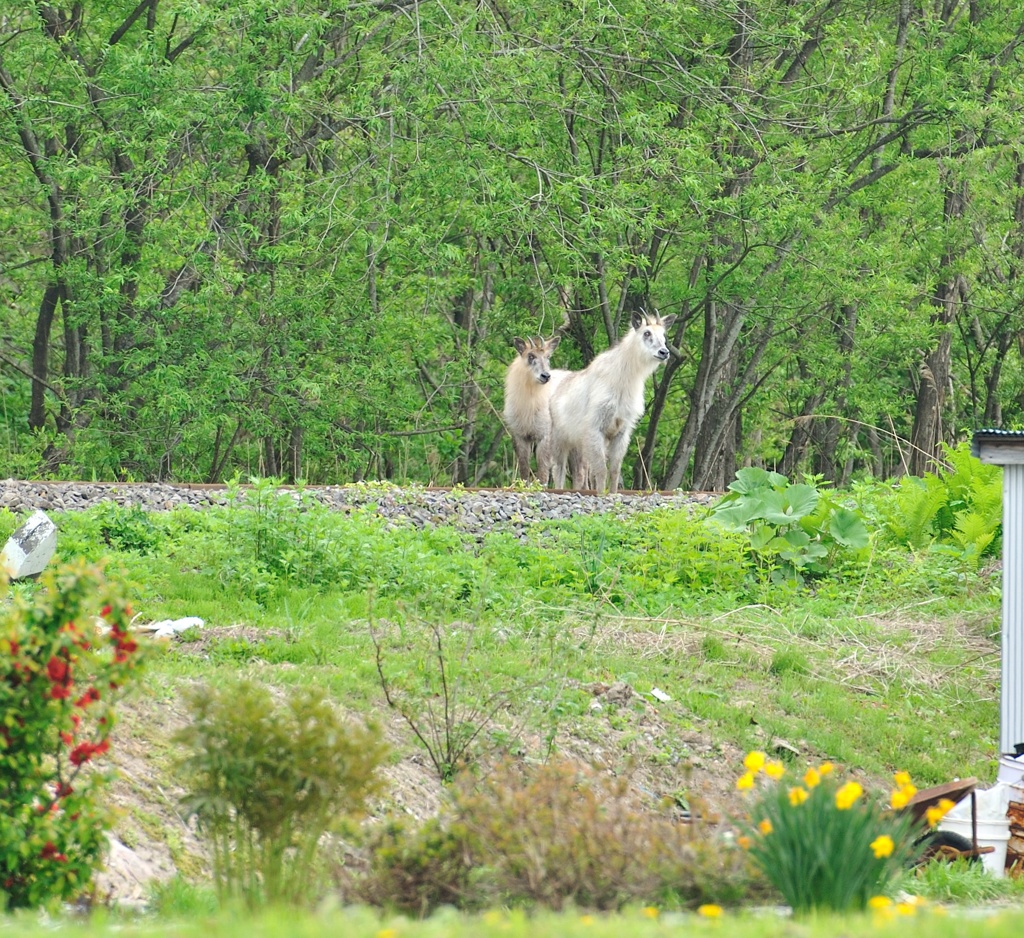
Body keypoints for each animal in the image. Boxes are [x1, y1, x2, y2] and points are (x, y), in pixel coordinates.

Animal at [503, 335, 569, 483]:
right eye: (531, 356)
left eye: (548, 356)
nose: (546, 376)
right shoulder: (520, 435)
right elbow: (524, 468)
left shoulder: (545, 435)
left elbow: (543, 470)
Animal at [548, 311, 675, 495]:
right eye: (646, 333)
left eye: (664, 335)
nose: (664, 352)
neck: (625, 380)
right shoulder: (595, 427)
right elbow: (601, 469)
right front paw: (601, 493)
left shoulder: (621, 430)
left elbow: (614, 469)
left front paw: (613, 493)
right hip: (559, 437)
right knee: (558, 468)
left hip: (578, 443)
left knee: (579, 471)